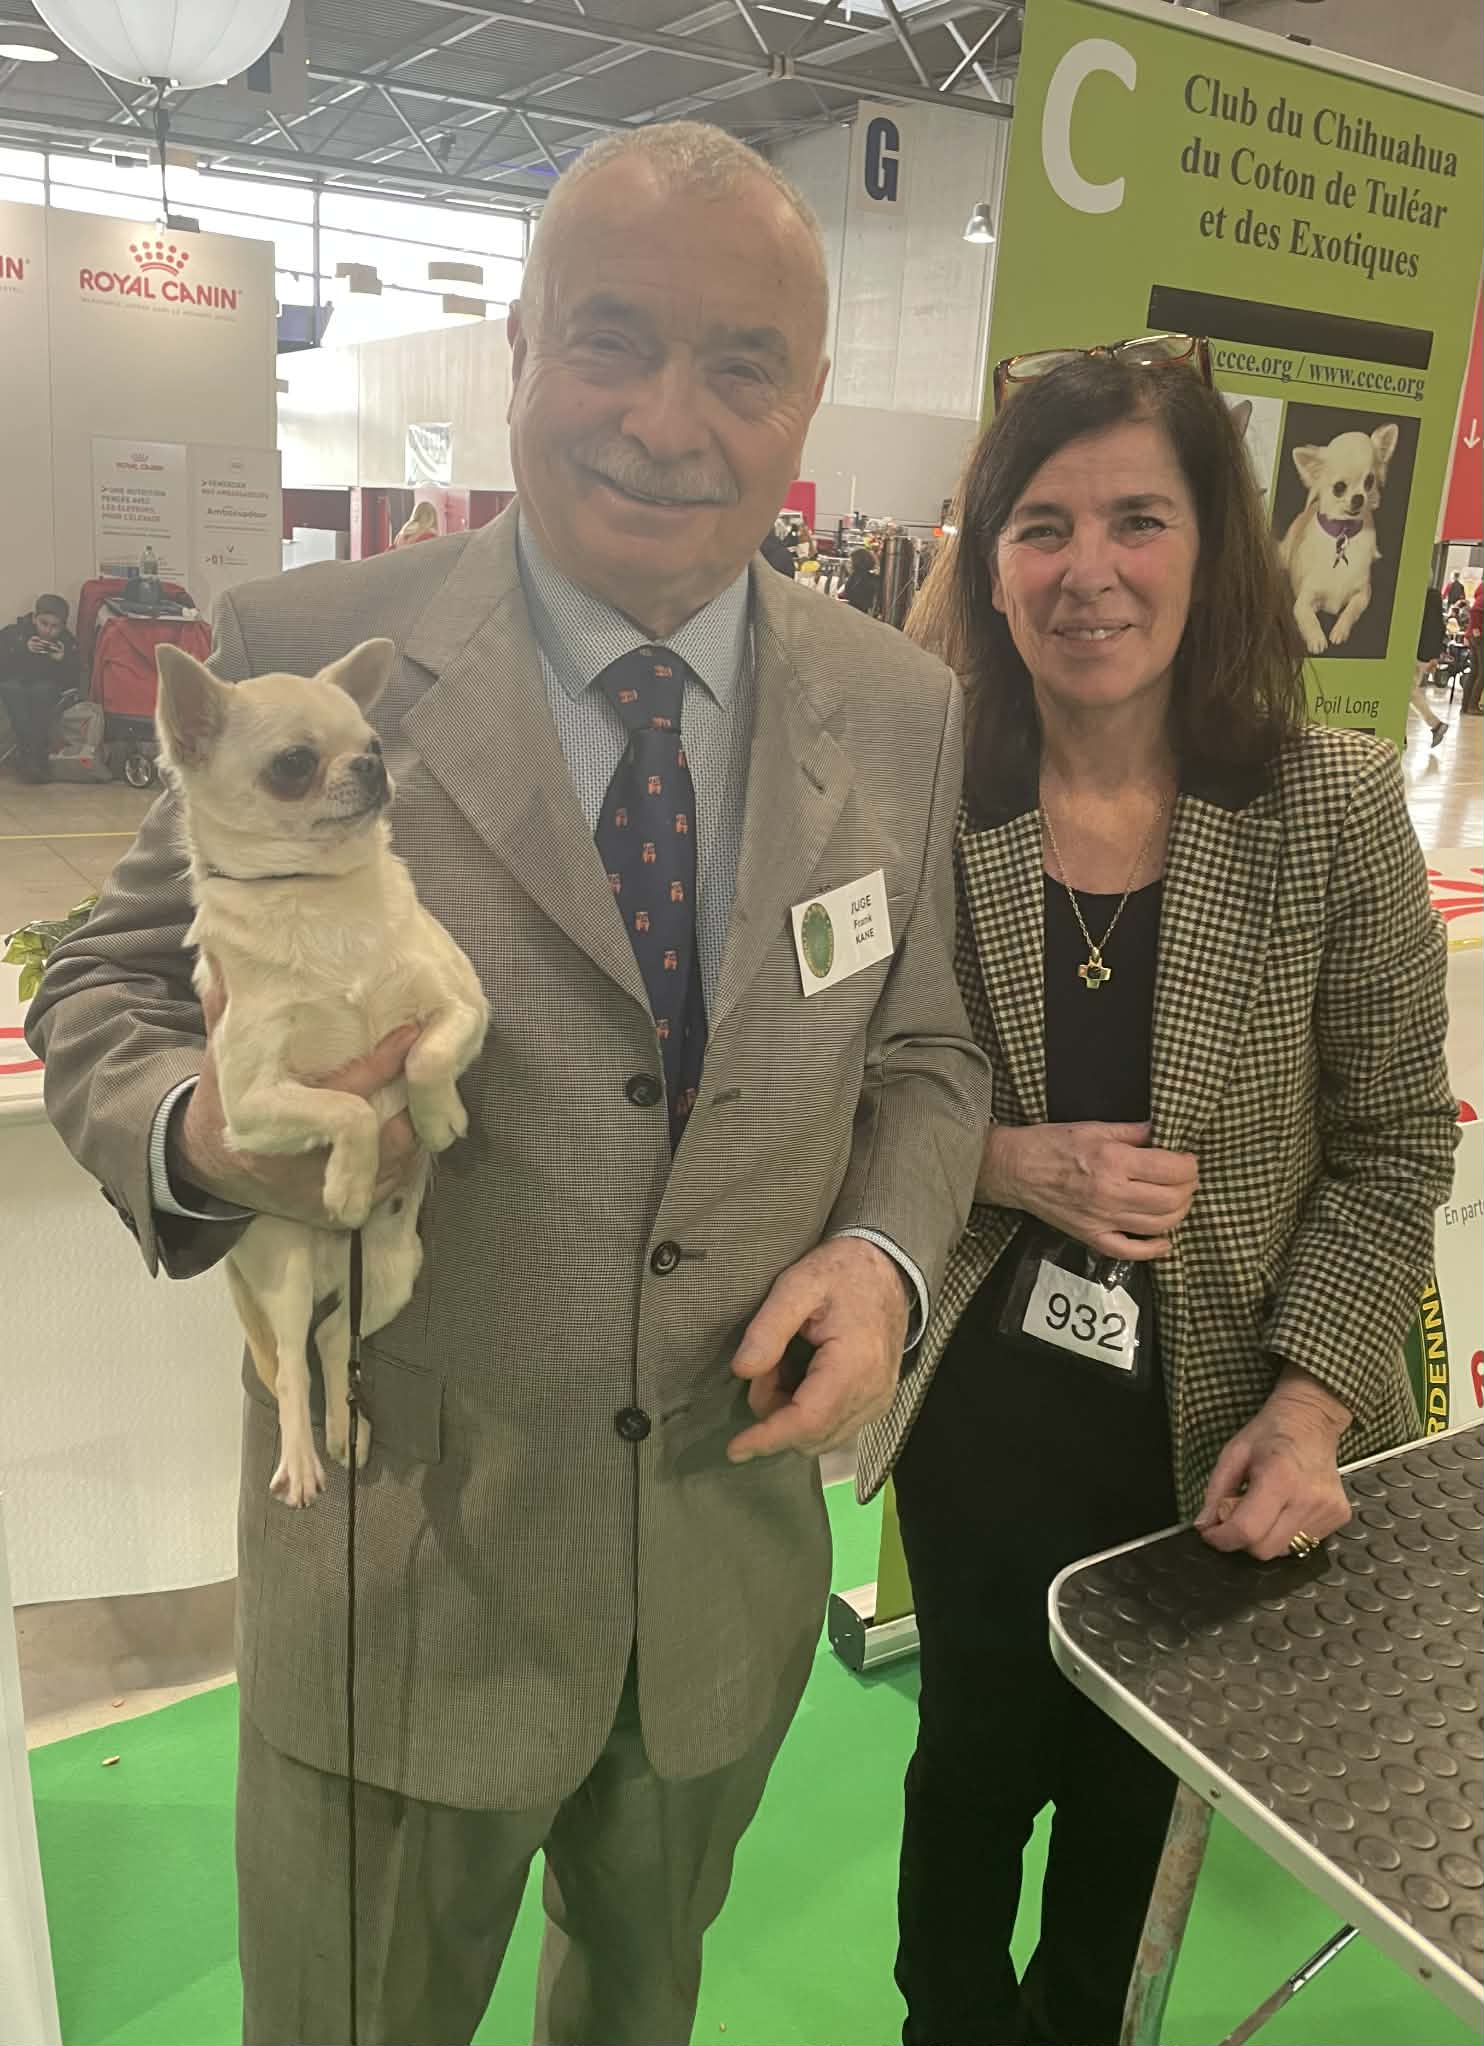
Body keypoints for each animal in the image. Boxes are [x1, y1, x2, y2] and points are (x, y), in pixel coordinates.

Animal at [154, 638, 489, 1506]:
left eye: (373, 741)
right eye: (294, 764)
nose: (371, 766)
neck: (318, 897)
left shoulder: (465, 1008)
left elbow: (423, 1053)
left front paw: (437, 1117)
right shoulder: (247, 1102)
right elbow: (352, 1110)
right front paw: (346, 1178)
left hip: (395, 1270)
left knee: (338, 1340)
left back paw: (350, 1430)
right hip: (287, 1270)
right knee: (293, 1369)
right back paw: (305, 1461)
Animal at [1278, 422, 1399, 655]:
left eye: (1369, 481)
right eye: (1339, 487)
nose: (1359, 498)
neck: (1343, 531)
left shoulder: (1364, 594)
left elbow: (1351, 609)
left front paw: (1339, 631)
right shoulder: (1302, 601)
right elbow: (1308, 616)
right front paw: (1316, 638)